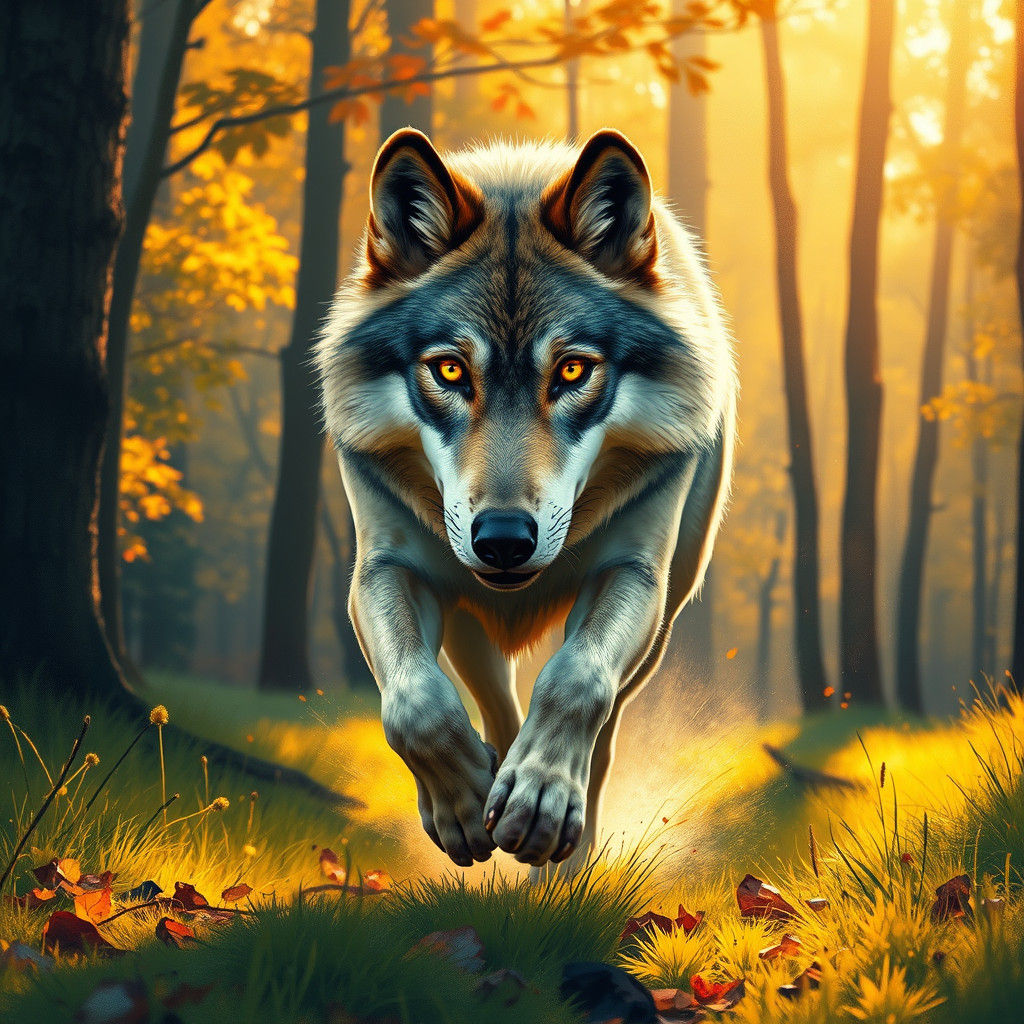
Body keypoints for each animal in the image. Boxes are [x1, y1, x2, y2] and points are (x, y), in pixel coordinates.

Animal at [316, 128, 736, 869]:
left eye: (571, 370)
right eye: (450, 370)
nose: (505, 539)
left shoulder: (634, 572)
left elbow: (576, 680)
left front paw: (541, 801)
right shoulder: (384, 566)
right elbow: (414, 701)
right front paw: (463, 803)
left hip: (663, 614)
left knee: (601, 729)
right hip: (466, 620)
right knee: (496, 700)